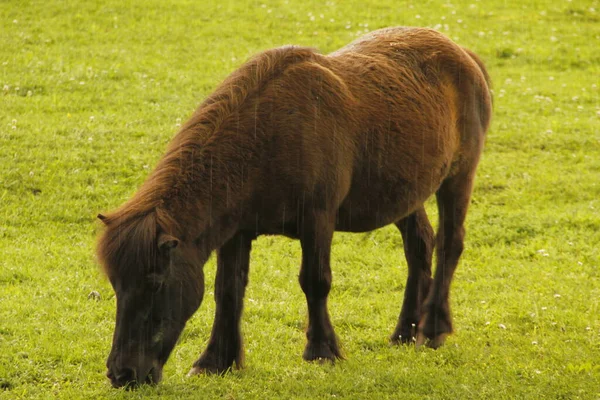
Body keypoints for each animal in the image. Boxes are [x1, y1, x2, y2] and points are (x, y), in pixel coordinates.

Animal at [97, 25, 492, 388]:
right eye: (117, 285)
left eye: (155, 282)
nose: (122, 373)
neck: (265, 137)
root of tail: (464, 54)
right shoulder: (236, 232)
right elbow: (227, 291)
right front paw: (216, 360)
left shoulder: (317, 220)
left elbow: (315, 281)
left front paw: (322, 351)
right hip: (407, 194)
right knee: (419, 246)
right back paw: (404, 332)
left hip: (458, 177)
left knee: (449, 245)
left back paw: (433, 328)